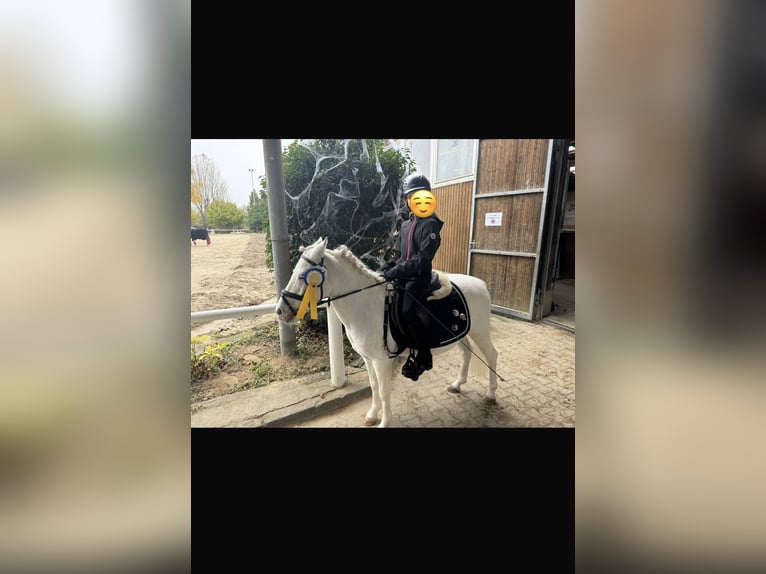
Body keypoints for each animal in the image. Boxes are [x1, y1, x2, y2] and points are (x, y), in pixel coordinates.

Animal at [274, 236, 498, 430]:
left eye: (303, 276)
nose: (280, 311)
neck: (367, 306)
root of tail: (480, 283)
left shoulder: (381, 360)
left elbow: (383, 390)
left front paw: (385, 422)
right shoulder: (368, 358)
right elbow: (374, 386)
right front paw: (372, 416)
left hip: (480, 332)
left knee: (491, 355)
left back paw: (491, 394)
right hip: (463, 334)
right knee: (466, 353)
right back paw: (457, 384)